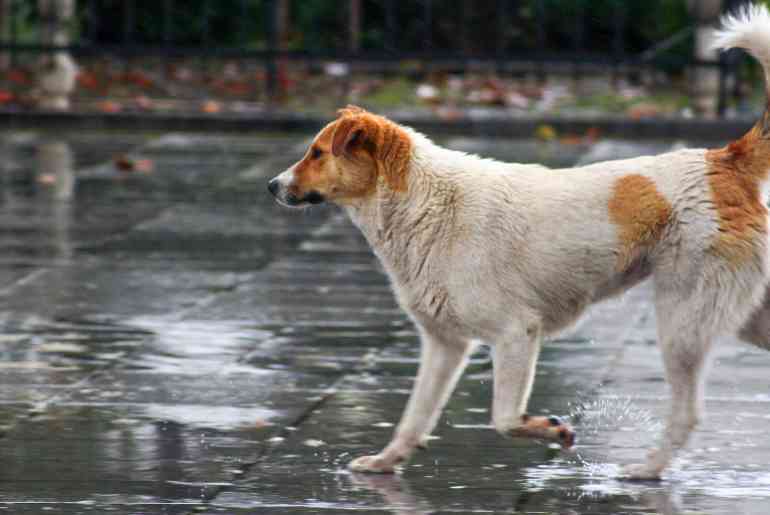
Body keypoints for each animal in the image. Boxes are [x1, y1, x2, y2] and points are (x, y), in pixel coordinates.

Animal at [268, 5, 768, 480]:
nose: (272, 186)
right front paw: (386, 462)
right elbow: (414, 417)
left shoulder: (515, 333)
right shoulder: (445, 345)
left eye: (316, 153)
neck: (424, 201)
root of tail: (723, 161)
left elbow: (505, 419)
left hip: (683, 323)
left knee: (687, 414)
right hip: (740, 315)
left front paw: (553, 430)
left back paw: (646, 469)